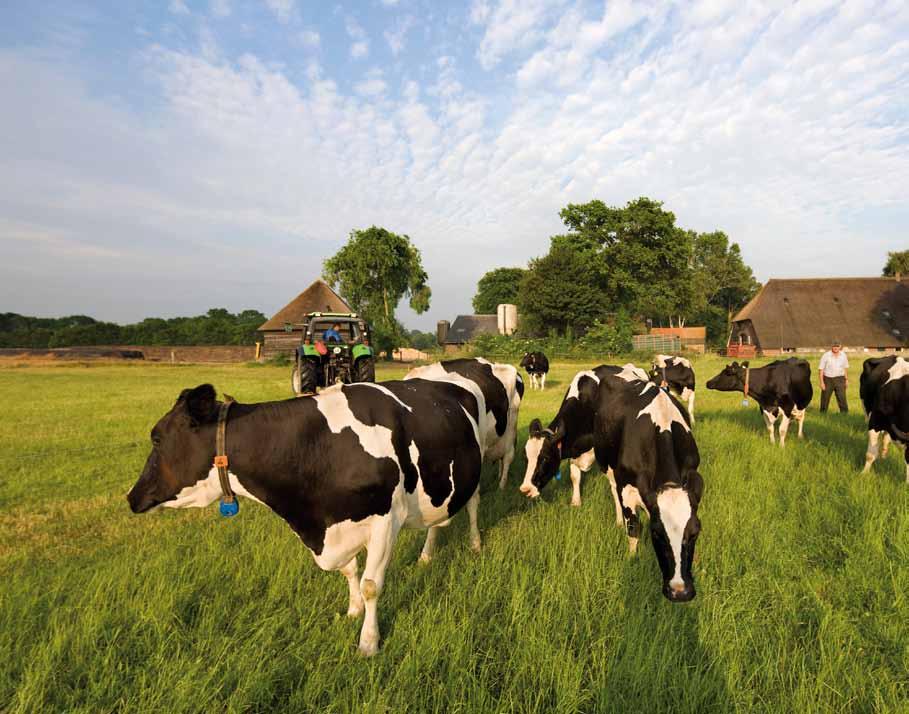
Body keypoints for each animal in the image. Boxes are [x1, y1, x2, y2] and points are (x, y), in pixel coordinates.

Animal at [126, 378, 490, 656]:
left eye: (156, 438)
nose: (131, 497)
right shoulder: (334, 526)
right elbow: (349, 571)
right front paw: (353, 610)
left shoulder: (386, 520)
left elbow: (371, 585)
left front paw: (368, 643)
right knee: (437, 521)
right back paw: (426, 556)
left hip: (477, 468)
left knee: (473, 505)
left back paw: (475, 544)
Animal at [516, 362, 644, 516]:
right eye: (525, 457)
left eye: (545, 458)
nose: (525, 489)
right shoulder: (573, 448)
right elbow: (575, 477)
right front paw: (576, 503)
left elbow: (615, 488)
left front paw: (620, 518)